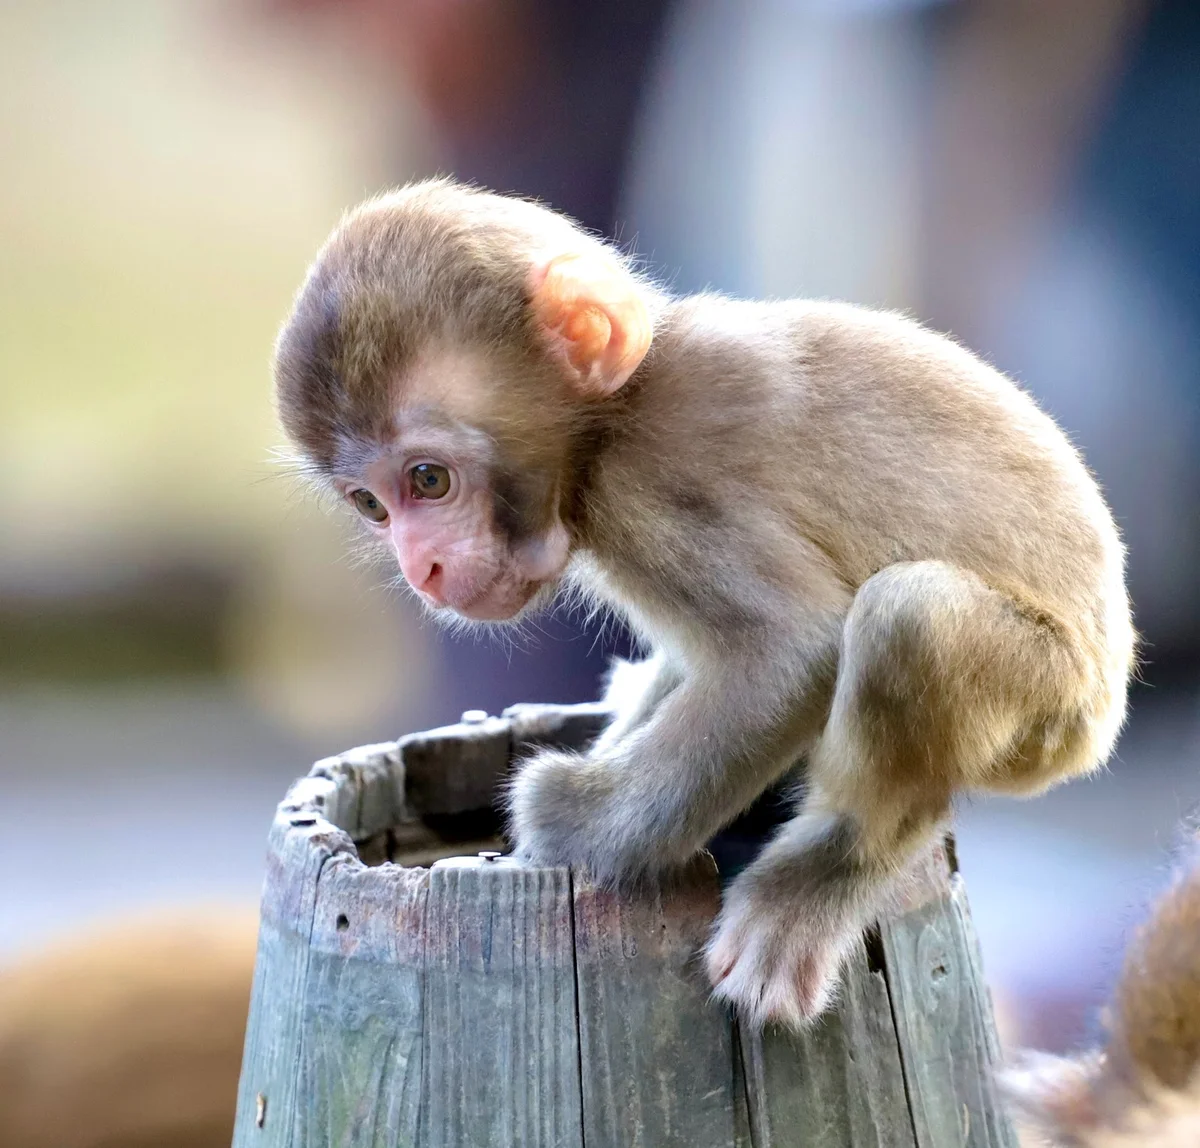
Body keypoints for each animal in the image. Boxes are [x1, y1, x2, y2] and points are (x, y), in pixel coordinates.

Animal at [274, 178, 1135, 1029]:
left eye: (429, 480)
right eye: (371, 506)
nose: (421, 567)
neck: (613, 420)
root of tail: (1102, 710)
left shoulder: (655, 485)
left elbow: (792, 651)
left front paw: (572, 823)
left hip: (1046, 704)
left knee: (907, 617)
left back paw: (818, 882)